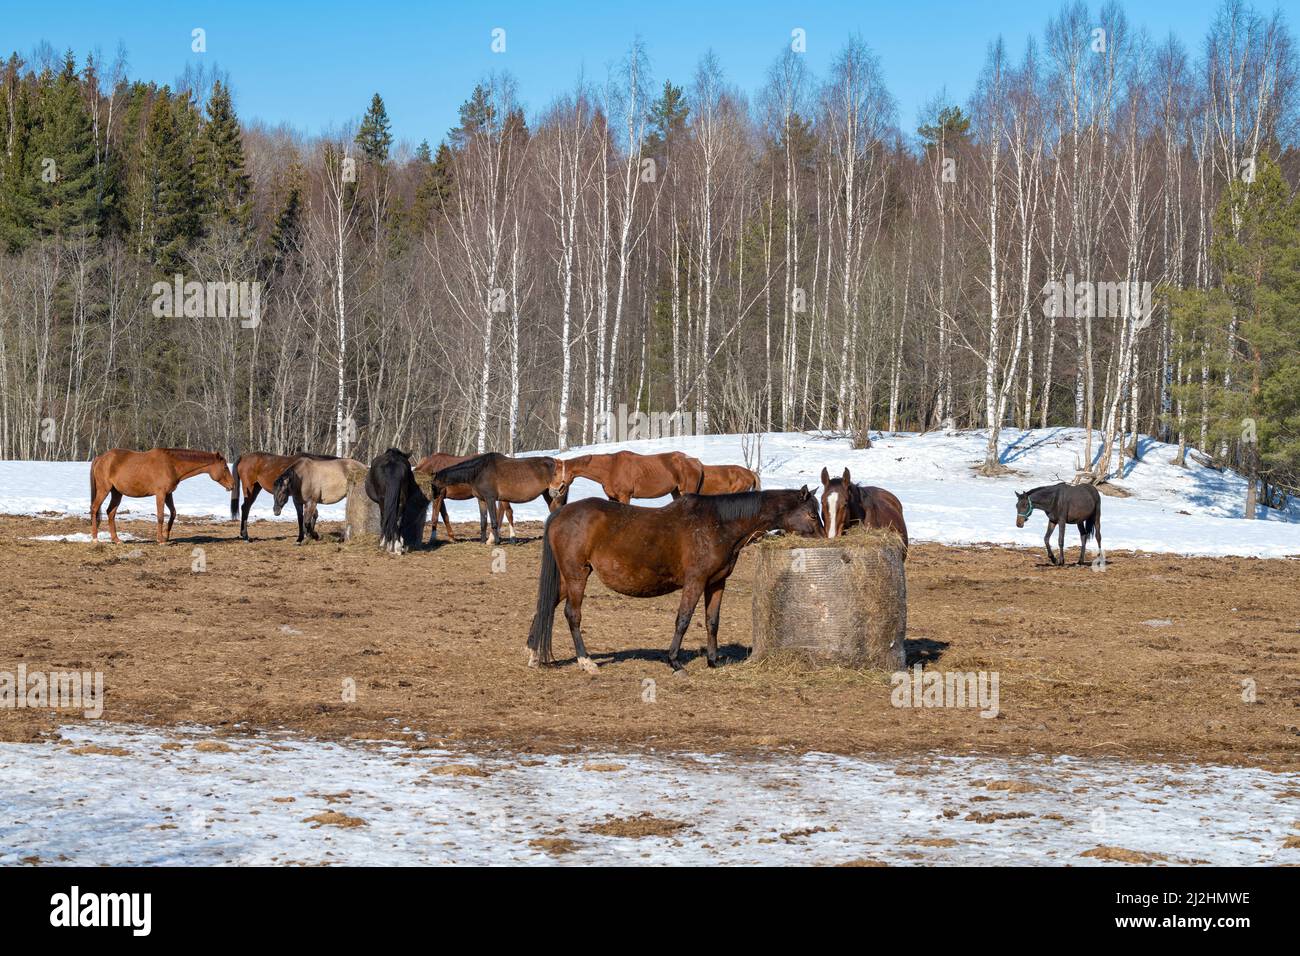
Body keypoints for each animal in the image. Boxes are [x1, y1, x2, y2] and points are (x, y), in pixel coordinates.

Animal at [90, 448, 234, 544]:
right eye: (225, 467)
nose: (232, 485)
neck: (171, 464)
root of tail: (100, 458)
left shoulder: (168, 494)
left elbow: (173, 513)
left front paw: (166, 536)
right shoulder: (160, 494)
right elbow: (160, 516)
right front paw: (161, 540)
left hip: (116, 493)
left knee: (111, 512)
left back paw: (116, 539)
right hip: (104, 489)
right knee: (95, 508)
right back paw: (95, 538)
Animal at [430, 453, 569, 544]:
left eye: (433, 484)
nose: (434, 497)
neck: (479, 471)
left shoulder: (490, 498)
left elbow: (494, 520)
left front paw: (496, 541)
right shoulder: (481, 500)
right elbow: (483, 521)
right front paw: (482, 541)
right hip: (549, 495)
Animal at [526, 487, 824, 673]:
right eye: (811, 513)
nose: (825, 539)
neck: (718, 524)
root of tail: (560, 514)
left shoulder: (716, 583)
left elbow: (712, 622)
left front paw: (713, 661)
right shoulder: (695, 582)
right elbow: (683, 620)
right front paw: (674, 662)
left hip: (566, 579)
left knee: (546, 606)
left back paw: (533, 654)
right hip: (577, 575)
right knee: (572, 614)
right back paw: (585, 661)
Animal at [560, 450, 705, 504]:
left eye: (557, 472)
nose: (557, 489)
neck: (611, 468)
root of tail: (696, 461)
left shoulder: (625, 496)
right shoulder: (612, 498)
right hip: (676, 492)